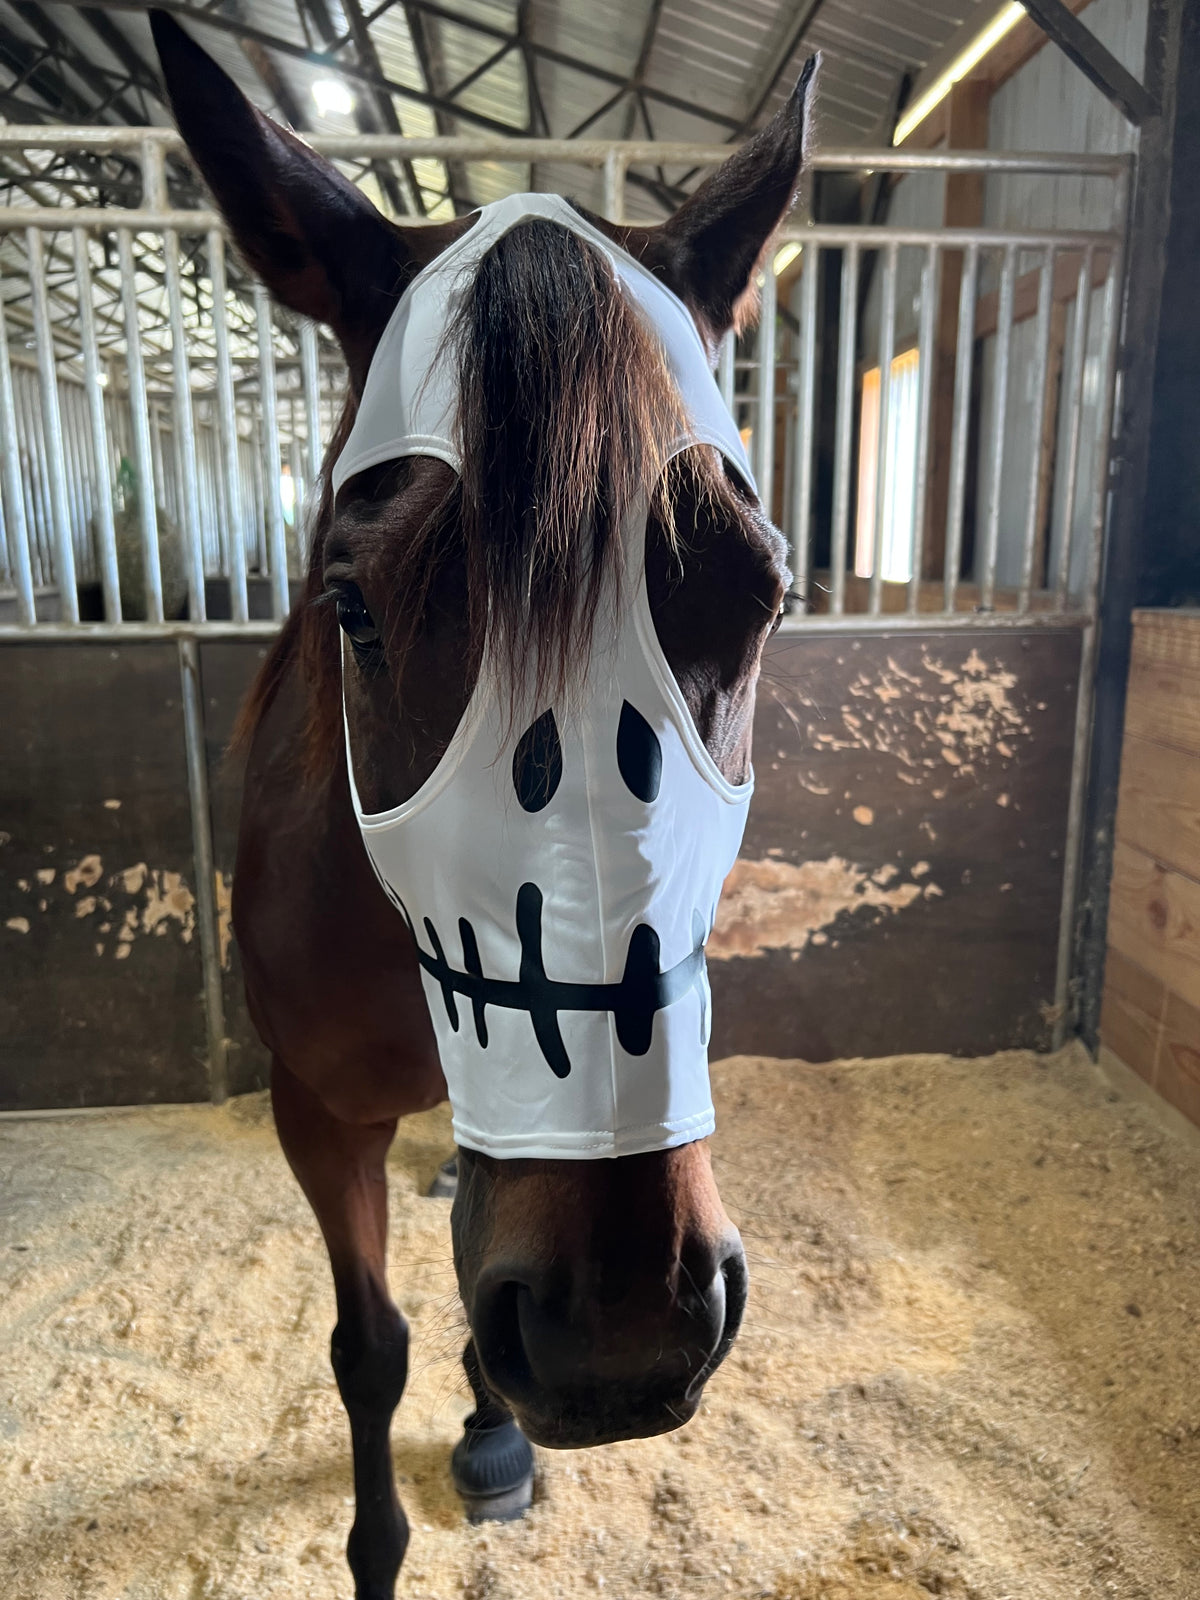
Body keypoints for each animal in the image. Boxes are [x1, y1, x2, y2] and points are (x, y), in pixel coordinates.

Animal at [150, 15, 813, 1598]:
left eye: (763, 597)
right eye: (353, 604)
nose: (623, 1326)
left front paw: (495, 1432)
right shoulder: (314, 1111)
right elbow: (367, 1346)